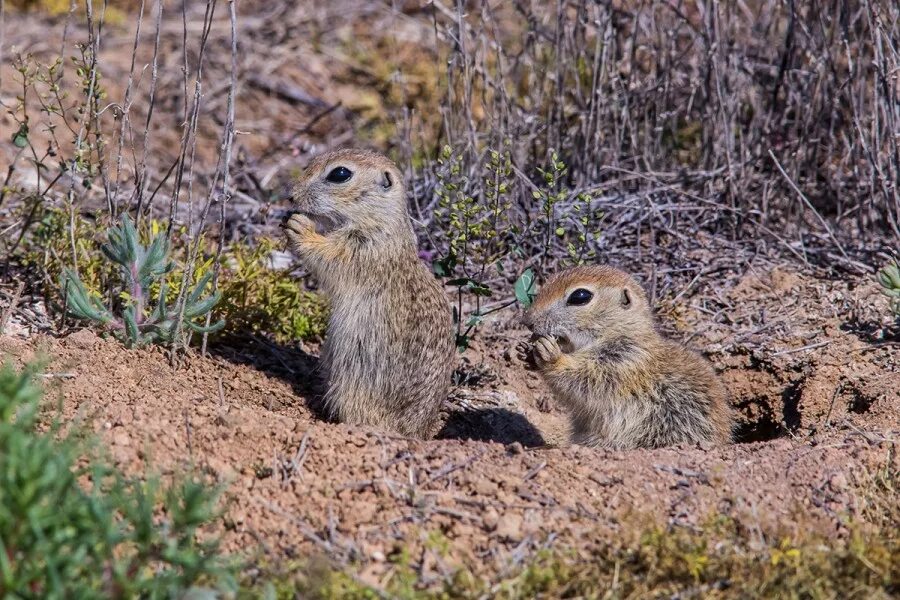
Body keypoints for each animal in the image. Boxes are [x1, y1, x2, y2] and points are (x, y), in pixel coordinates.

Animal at [284, 148, 454, 438]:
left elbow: (329, 254)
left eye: (340, 173)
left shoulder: (362, 249)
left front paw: (300, 226)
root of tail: (415, 433)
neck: (381, 221)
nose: (291, 196)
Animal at [516, 264, 736, 448]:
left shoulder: (625, 361)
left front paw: (551, 354)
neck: (620, 331)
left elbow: (587, 379)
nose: (527, 321)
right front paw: (525, 352)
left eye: (580, 296)